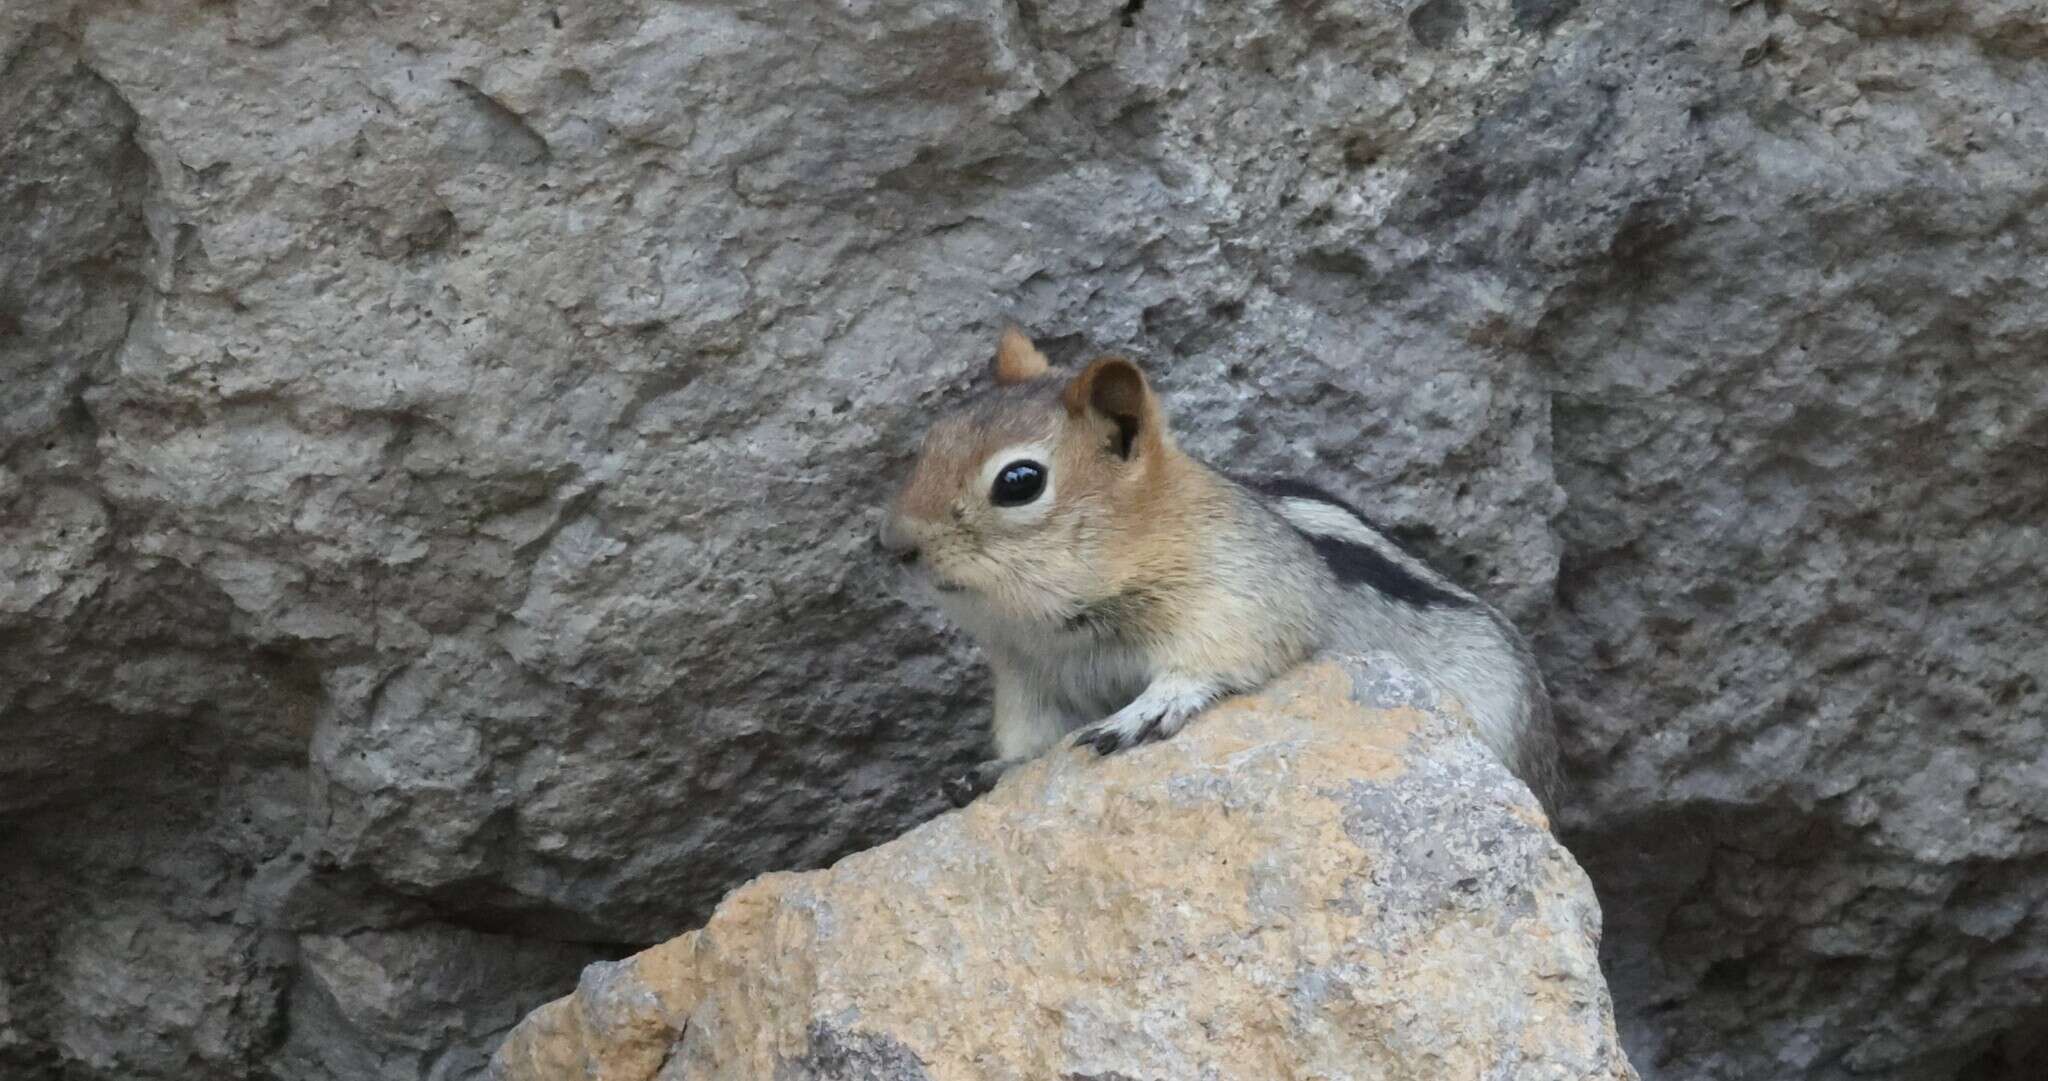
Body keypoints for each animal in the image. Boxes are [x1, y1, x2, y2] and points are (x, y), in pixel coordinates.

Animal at [872, 329, 1556, 810]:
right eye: (931, 441)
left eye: (1019, 482)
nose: (893, 545)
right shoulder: (1027, 680)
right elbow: (1031, 743)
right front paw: (993, 770)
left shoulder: (1242, 594)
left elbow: (1221, 658)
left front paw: (1150, 708)